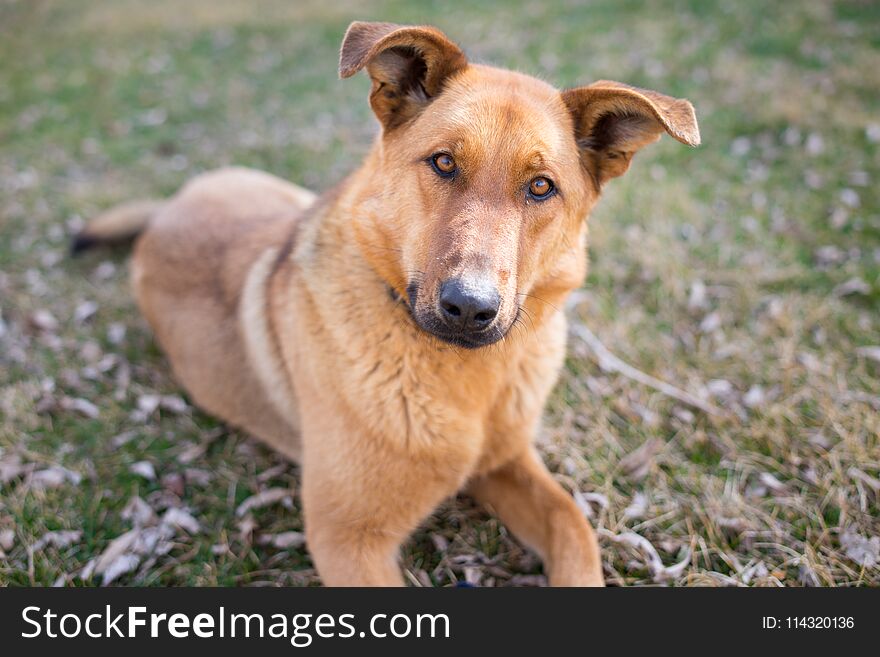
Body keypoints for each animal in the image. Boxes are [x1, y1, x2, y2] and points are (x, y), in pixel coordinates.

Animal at [75, 21, 696, 584]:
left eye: (541, 187)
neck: (463, 375)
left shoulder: (508, 463)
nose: (469, 309)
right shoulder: (349, 539)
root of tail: (167, 210)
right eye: (443, 162)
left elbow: (574, 526)